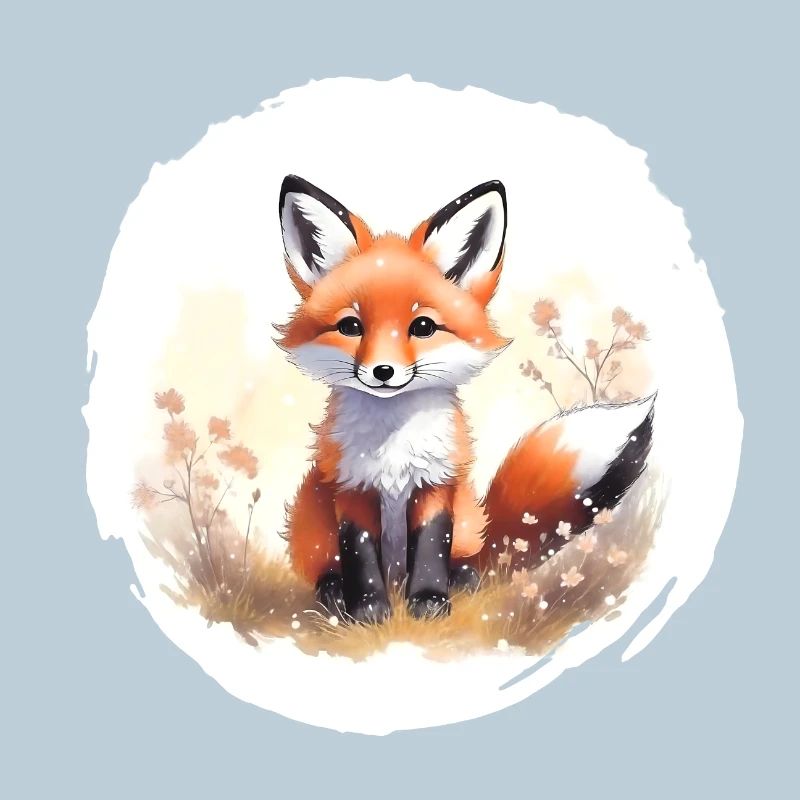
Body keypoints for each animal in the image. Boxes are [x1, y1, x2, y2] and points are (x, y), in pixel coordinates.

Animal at [276, 175, 654, 624]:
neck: (393, 445)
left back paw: (461, 580)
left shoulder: (437, 482)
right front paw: (368, 610)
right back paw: (333, 593)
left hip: (469, 521)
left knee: (470, 560)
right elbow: (361, 553)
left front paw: (429, 600)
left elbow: (431, 546)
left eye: (423, 326)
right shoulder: (352, 487)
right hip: (310, 521)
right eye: (351, 326)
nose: (382, 372)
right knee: (327, 568)